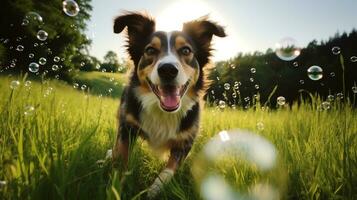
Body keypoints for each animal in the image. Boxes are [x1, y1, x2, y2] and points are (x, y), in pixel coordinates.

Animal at [111, 11, 225, 198]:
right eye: (150, 50)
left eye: (186, 50)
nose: (168, 69)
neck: (162, 111)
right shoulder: (127, 126)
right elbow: (122, 156)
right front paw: (117, 187)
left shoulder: (185, 141)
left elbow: (168, 170)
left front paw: (153, 191)